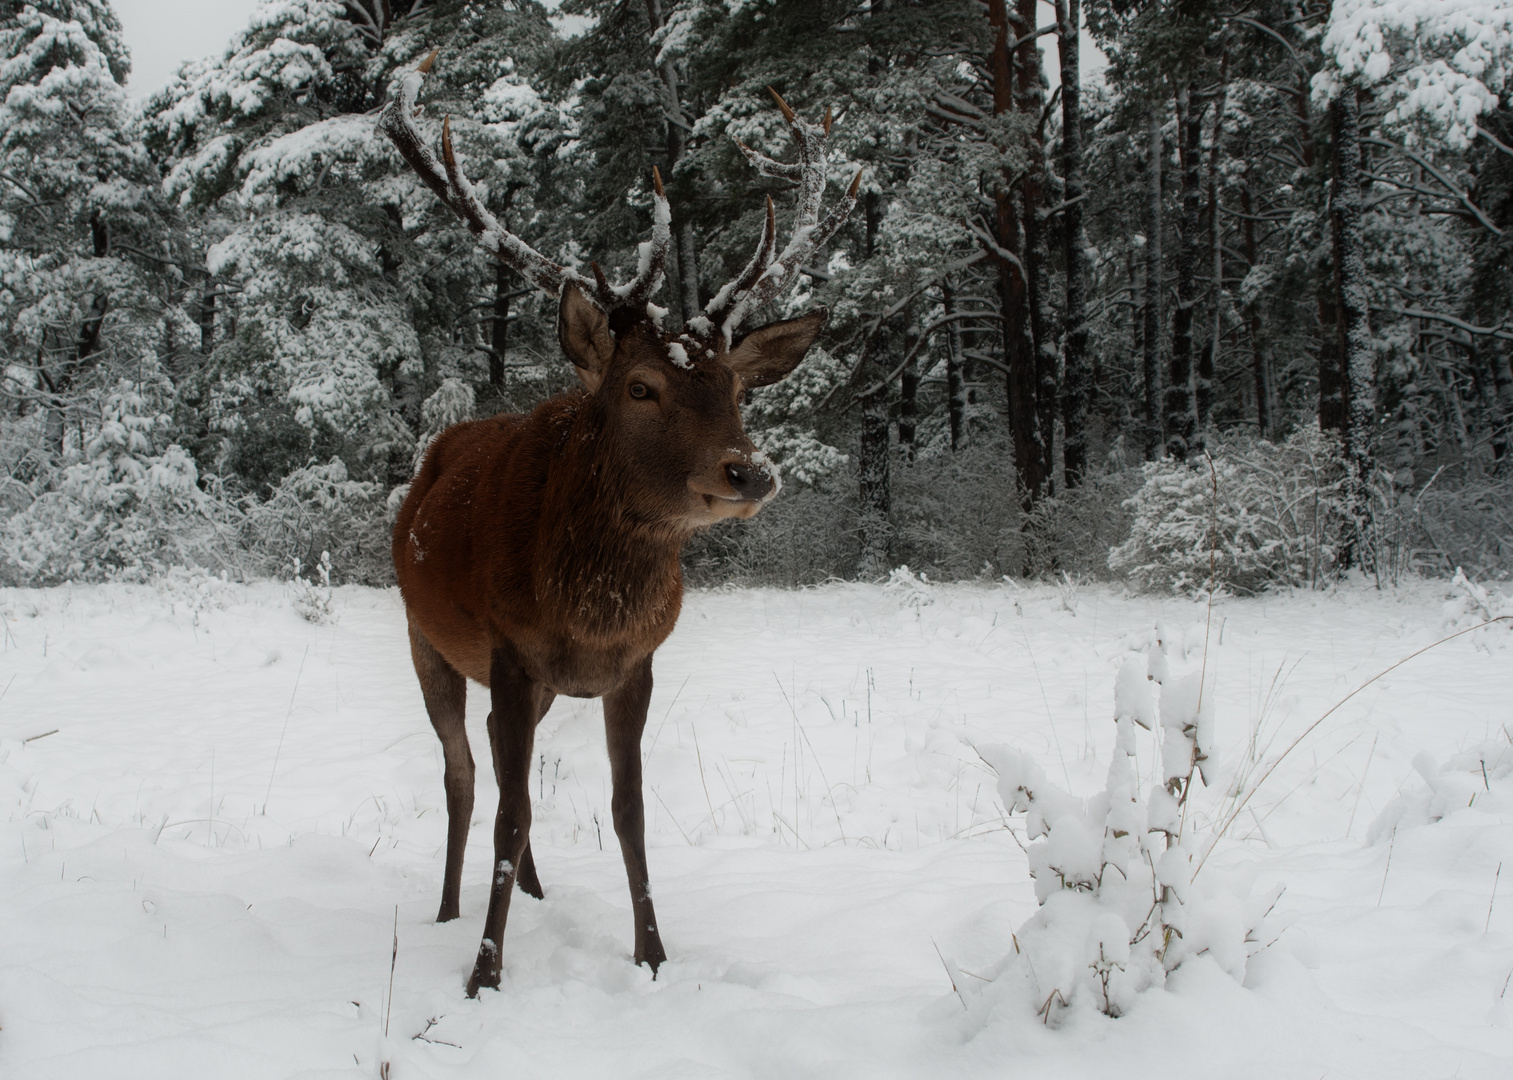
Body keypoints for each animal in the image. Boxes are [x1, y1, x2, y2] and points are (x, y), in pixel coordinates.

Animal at [376, 52, 859, 992]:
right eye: (641, 386)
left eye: (736, 387)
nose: (750, 470)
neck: (590, 612)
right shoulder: (507, 651)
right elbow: (507, 810)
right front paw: (483, 973)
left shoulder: (635, 665)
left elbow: (626, 809)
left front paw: (654, 955)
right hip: (424, 636)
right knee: (463, 773)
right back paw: (449, 910)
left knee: (496, 771)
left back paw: (532, 894)